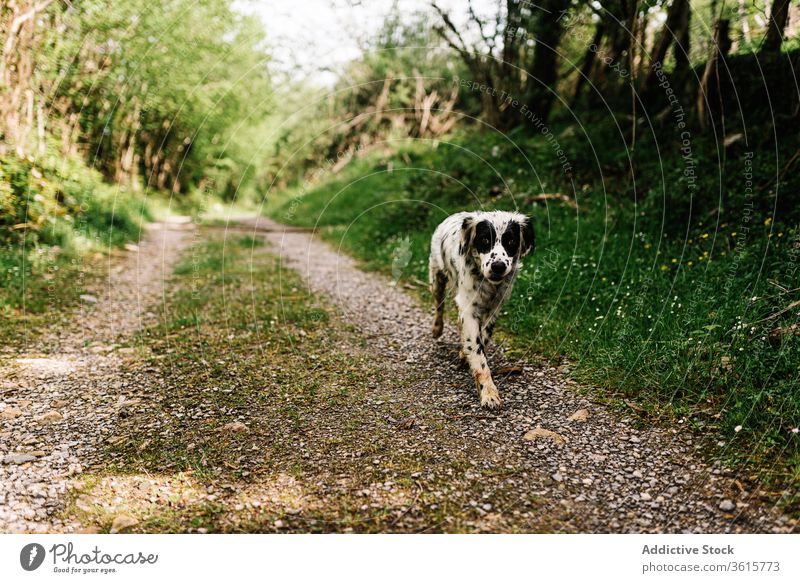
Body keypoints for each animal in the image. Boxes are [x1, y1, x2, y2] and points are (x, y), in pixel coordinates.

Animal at [428, 212, 536, 408]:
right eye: (485, 239)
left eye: (511, 241)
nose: (498, 266)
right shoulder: (469, 309)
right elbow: (480, 358)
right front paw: (489, 393)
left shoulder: (494, 308)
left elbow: (483, 339)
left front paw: (466, 354)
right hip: (436, 278)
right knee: (439, 306)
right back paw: (437, 328)